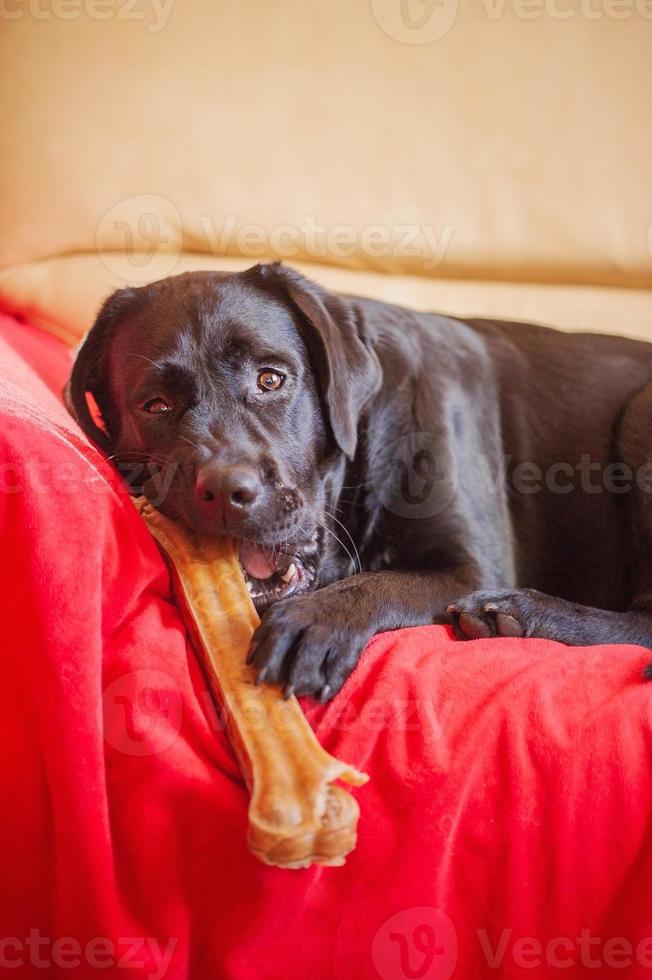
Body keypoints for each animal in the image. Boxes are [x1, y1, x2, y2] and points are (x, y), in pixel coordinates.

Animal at [66, 264, 652, 700]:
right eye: (156, 405)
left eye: (271, 378)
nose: (229, 494)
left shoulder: (473, 565)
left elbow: (382, 582)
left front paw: (314, 622)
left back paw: (518, 612)